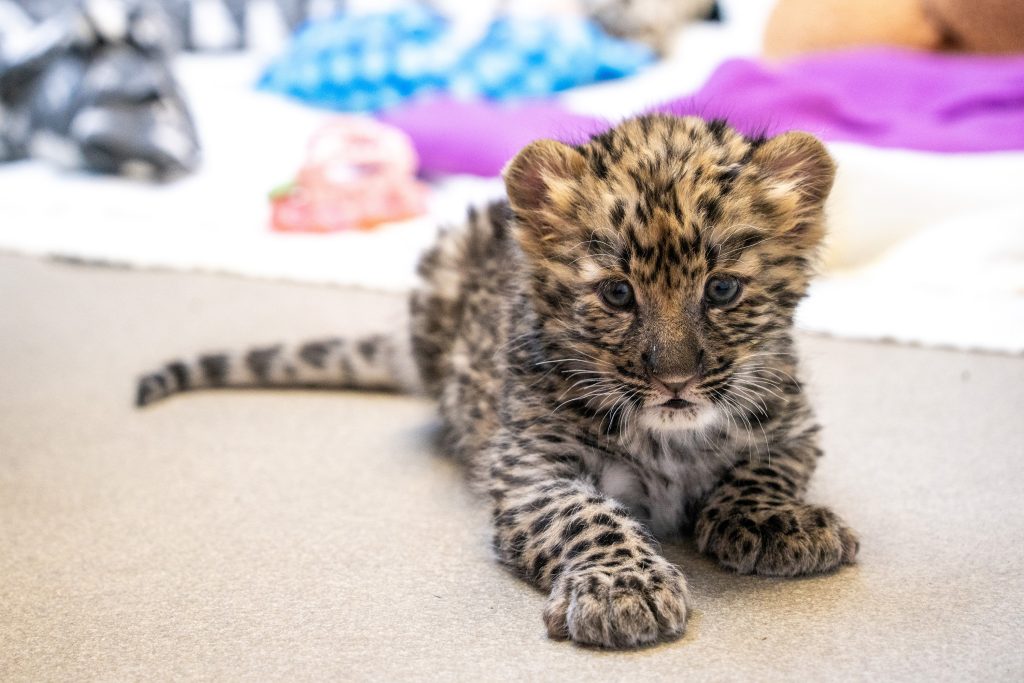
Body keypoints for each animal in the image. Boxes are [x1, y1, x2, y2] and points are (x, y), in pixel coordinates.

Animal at [136, 114, 859, 649]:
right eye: (618, 293)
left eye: (723, 289)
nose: (675, 380)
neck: (671, 436)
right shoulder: (531, 468)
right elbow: (587, 515)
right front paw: (620, 588)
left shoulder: (795, 427)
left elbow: (762, 470)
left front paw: (778, 522)